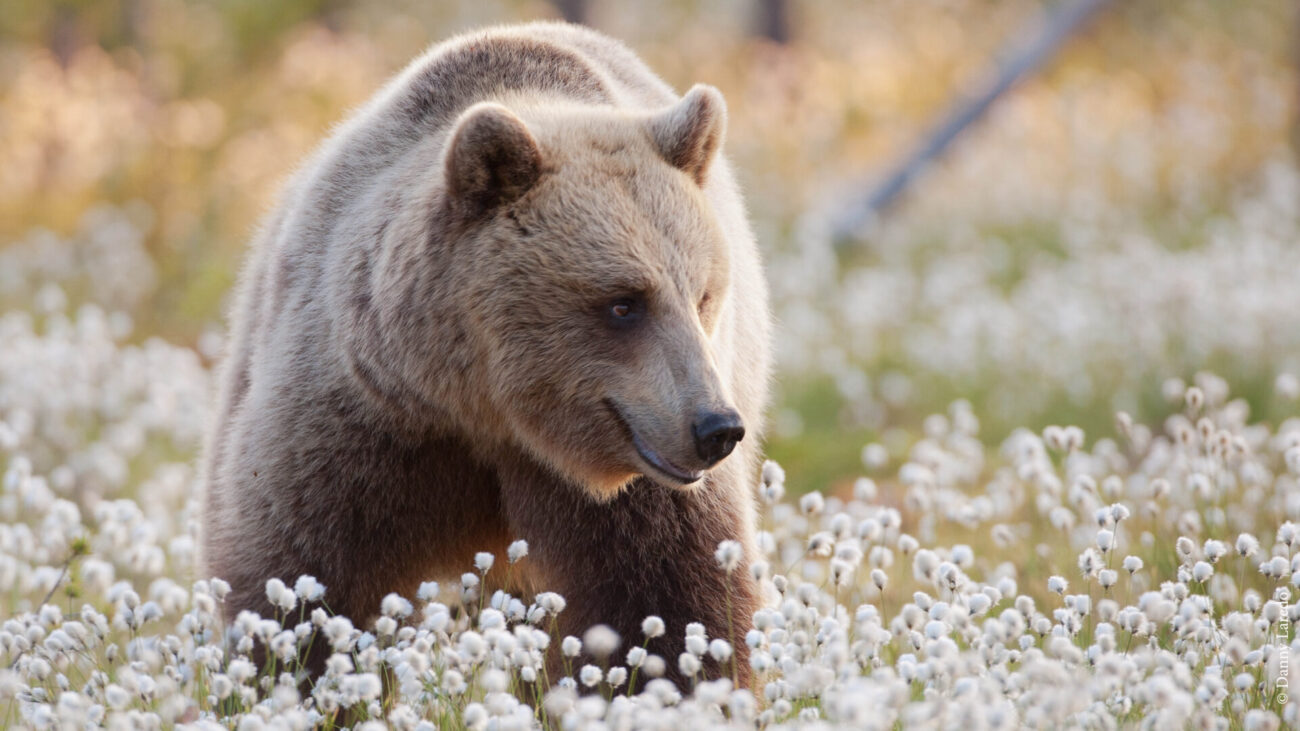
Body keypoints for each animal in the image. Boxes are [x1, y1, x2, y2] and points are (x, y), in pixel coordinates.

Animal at [200, 19, 769, 686]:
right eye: (624, 302)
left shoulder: (636, 487)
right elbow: (301, 577)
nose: (715, 427)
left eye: (703, 295)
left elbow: (670, 602)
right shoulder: (358, 425)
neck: (485, 409)